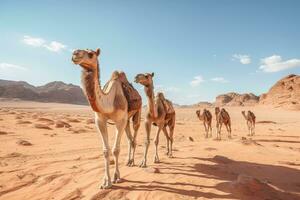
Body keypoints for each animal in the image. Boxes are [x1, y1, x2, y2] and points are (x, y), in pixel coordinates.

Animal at [71, 48, 142, 189]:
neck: (110, 101)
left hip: (137, 112)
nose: (75, 54)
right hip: (126, 120)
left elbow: (115, 150)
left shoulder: (119, 121)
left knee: (135, 135)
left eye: (91, 54)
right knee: (130, 139)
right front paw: (105, 182)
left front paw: (116, 177)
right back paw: (128, 161)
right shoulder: (100, 120)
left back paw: (132, 161)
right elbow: (105, 151)